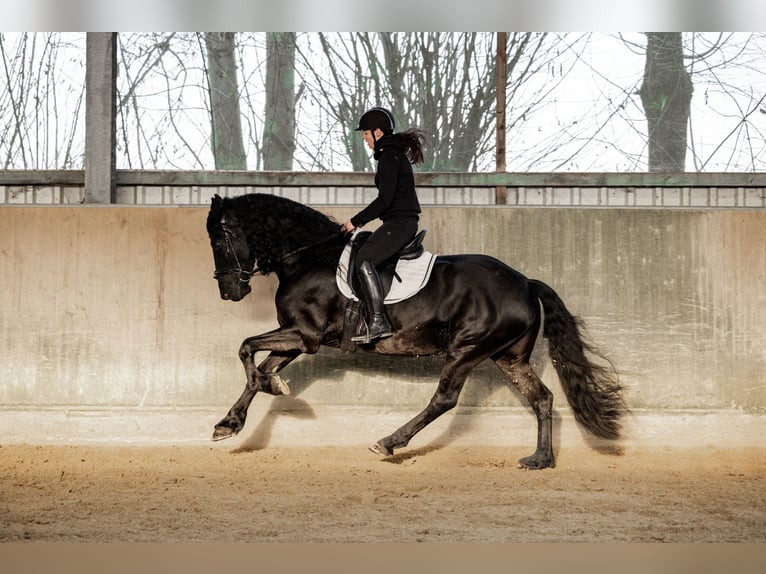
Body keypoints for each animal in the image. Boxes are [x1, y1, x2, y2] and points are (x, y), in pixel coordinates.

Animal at [207, 191, 628, 470]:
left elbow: (245, 348)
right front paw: (230, 423)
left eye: (220, 239)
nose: (229, 292)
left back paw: (388, 443)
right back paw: (540, 459)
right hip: (507, 357)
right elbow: (258, 366)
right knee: (541, 398)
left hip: (467, 350)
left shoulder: (305, 335)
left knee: (444, 400)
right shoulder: (295, 336)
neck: (309, 257)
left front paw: (269, 390)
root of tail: (525, 282)